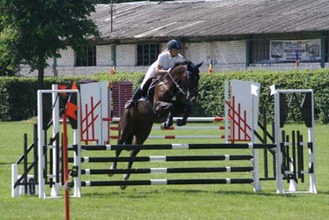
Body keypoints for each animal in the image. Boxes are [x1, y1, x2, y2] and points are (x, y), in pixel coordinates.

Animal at [109, 60, 202, 189]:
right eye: (189, 77)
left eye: (198, 77)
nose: (194, 97)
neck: (171, 86)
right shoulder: (157, 106)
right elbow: (171, 106)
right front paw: (166, 123)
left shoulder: (179, 106)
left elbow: (185, 108)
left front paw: (177, 122)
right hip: (124, 130)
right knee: (118, 149)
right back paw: (112, 170)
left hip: (142, 134)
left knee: (133, 153)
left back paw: (126, 178)